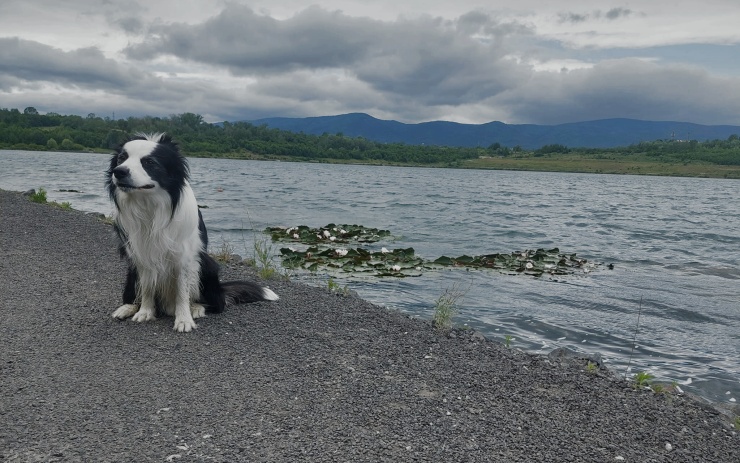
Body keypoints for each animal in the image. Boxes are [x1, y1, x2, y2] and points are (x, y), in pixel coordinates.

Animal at [105, 132, 278, 332]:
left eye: (149, 162)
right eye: (121, 158)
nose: (119, 171)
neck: (151, 207)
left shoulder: (184, 257)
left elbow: (182, 292)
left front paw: (184, 320)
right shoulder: (141, 254)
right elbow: (147, 286)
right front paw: (145, 312)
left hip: (207, 265)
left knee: (215, 303)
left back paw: (196, 308)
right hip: (131, 273)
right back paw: (127, 307)